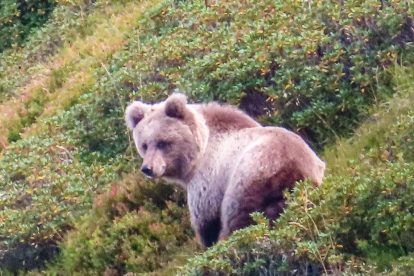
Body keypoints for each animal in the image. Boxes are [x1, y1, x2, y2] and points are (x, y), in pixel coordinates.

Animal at [124, 94, 326, 247]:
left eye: (163, 142)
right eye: (144, 145)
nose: (148, 168)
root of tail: (298, 174)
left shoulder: (209, 179)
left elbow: (206, 220)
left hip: (251, 174)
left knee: (239, 215)